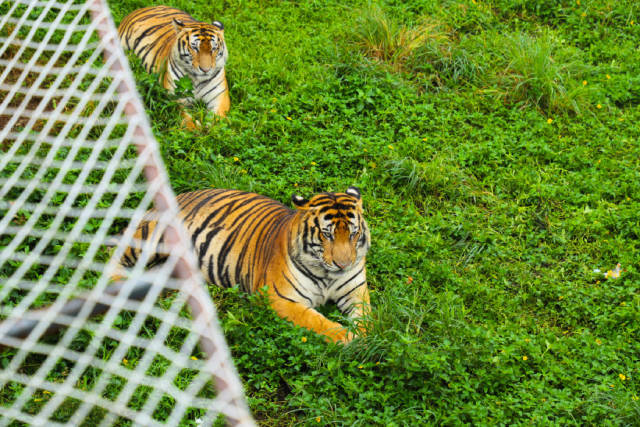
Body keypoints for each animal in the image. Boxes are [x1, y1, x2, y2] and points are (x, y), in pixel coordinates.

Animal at [117, 187, 372, 344]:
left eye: (353, 233)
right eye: (327, 234)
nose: (343, 264)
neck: (327, 274)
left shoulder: (355, 291)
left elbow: (366, 317)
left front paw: (366, 336)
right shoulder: (281, 299)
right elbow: (317, 321)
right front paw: (349, 338)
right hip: (150, 237)